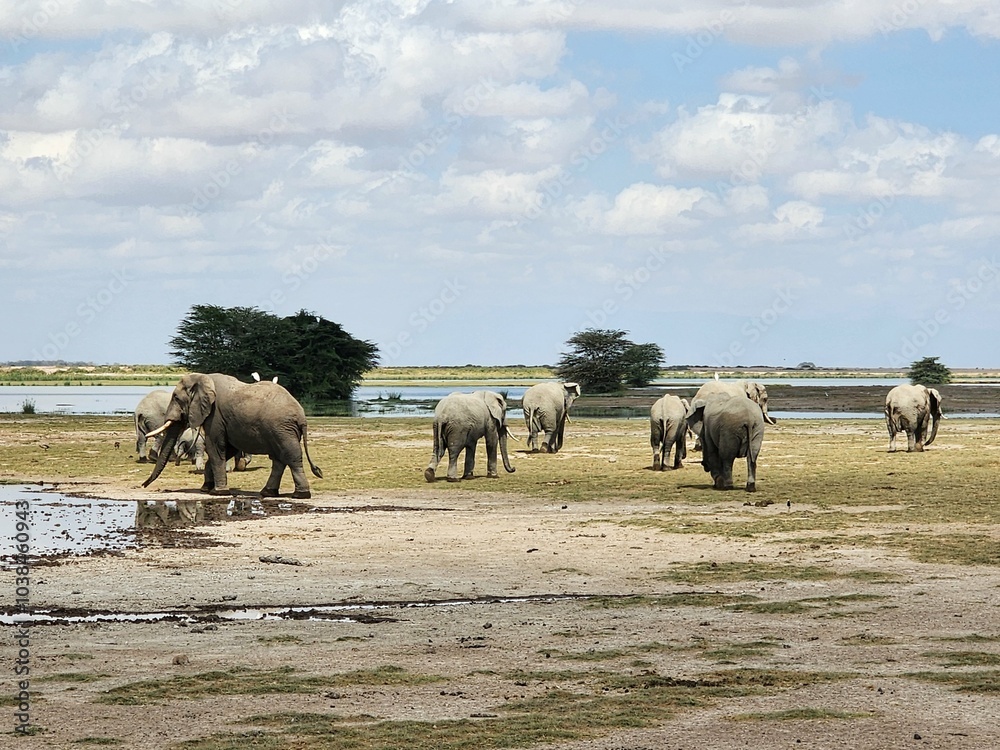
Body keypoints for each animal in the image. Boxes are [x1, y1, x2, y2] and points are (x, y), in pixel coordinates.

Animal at [142, 373, 322, 498]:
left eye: (176, 398)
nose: (144, 485)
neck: (203, 377)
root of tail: (302, 416)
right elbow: (226, 449)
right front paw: (206, 488)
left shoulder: (215, 415)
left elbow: (216, 447)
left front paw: (218, 492)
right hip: (280, 430)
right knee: (279, 460)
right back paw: (267, 493)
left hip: (282, 429)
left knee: (291, 457)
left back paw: (300, 495)